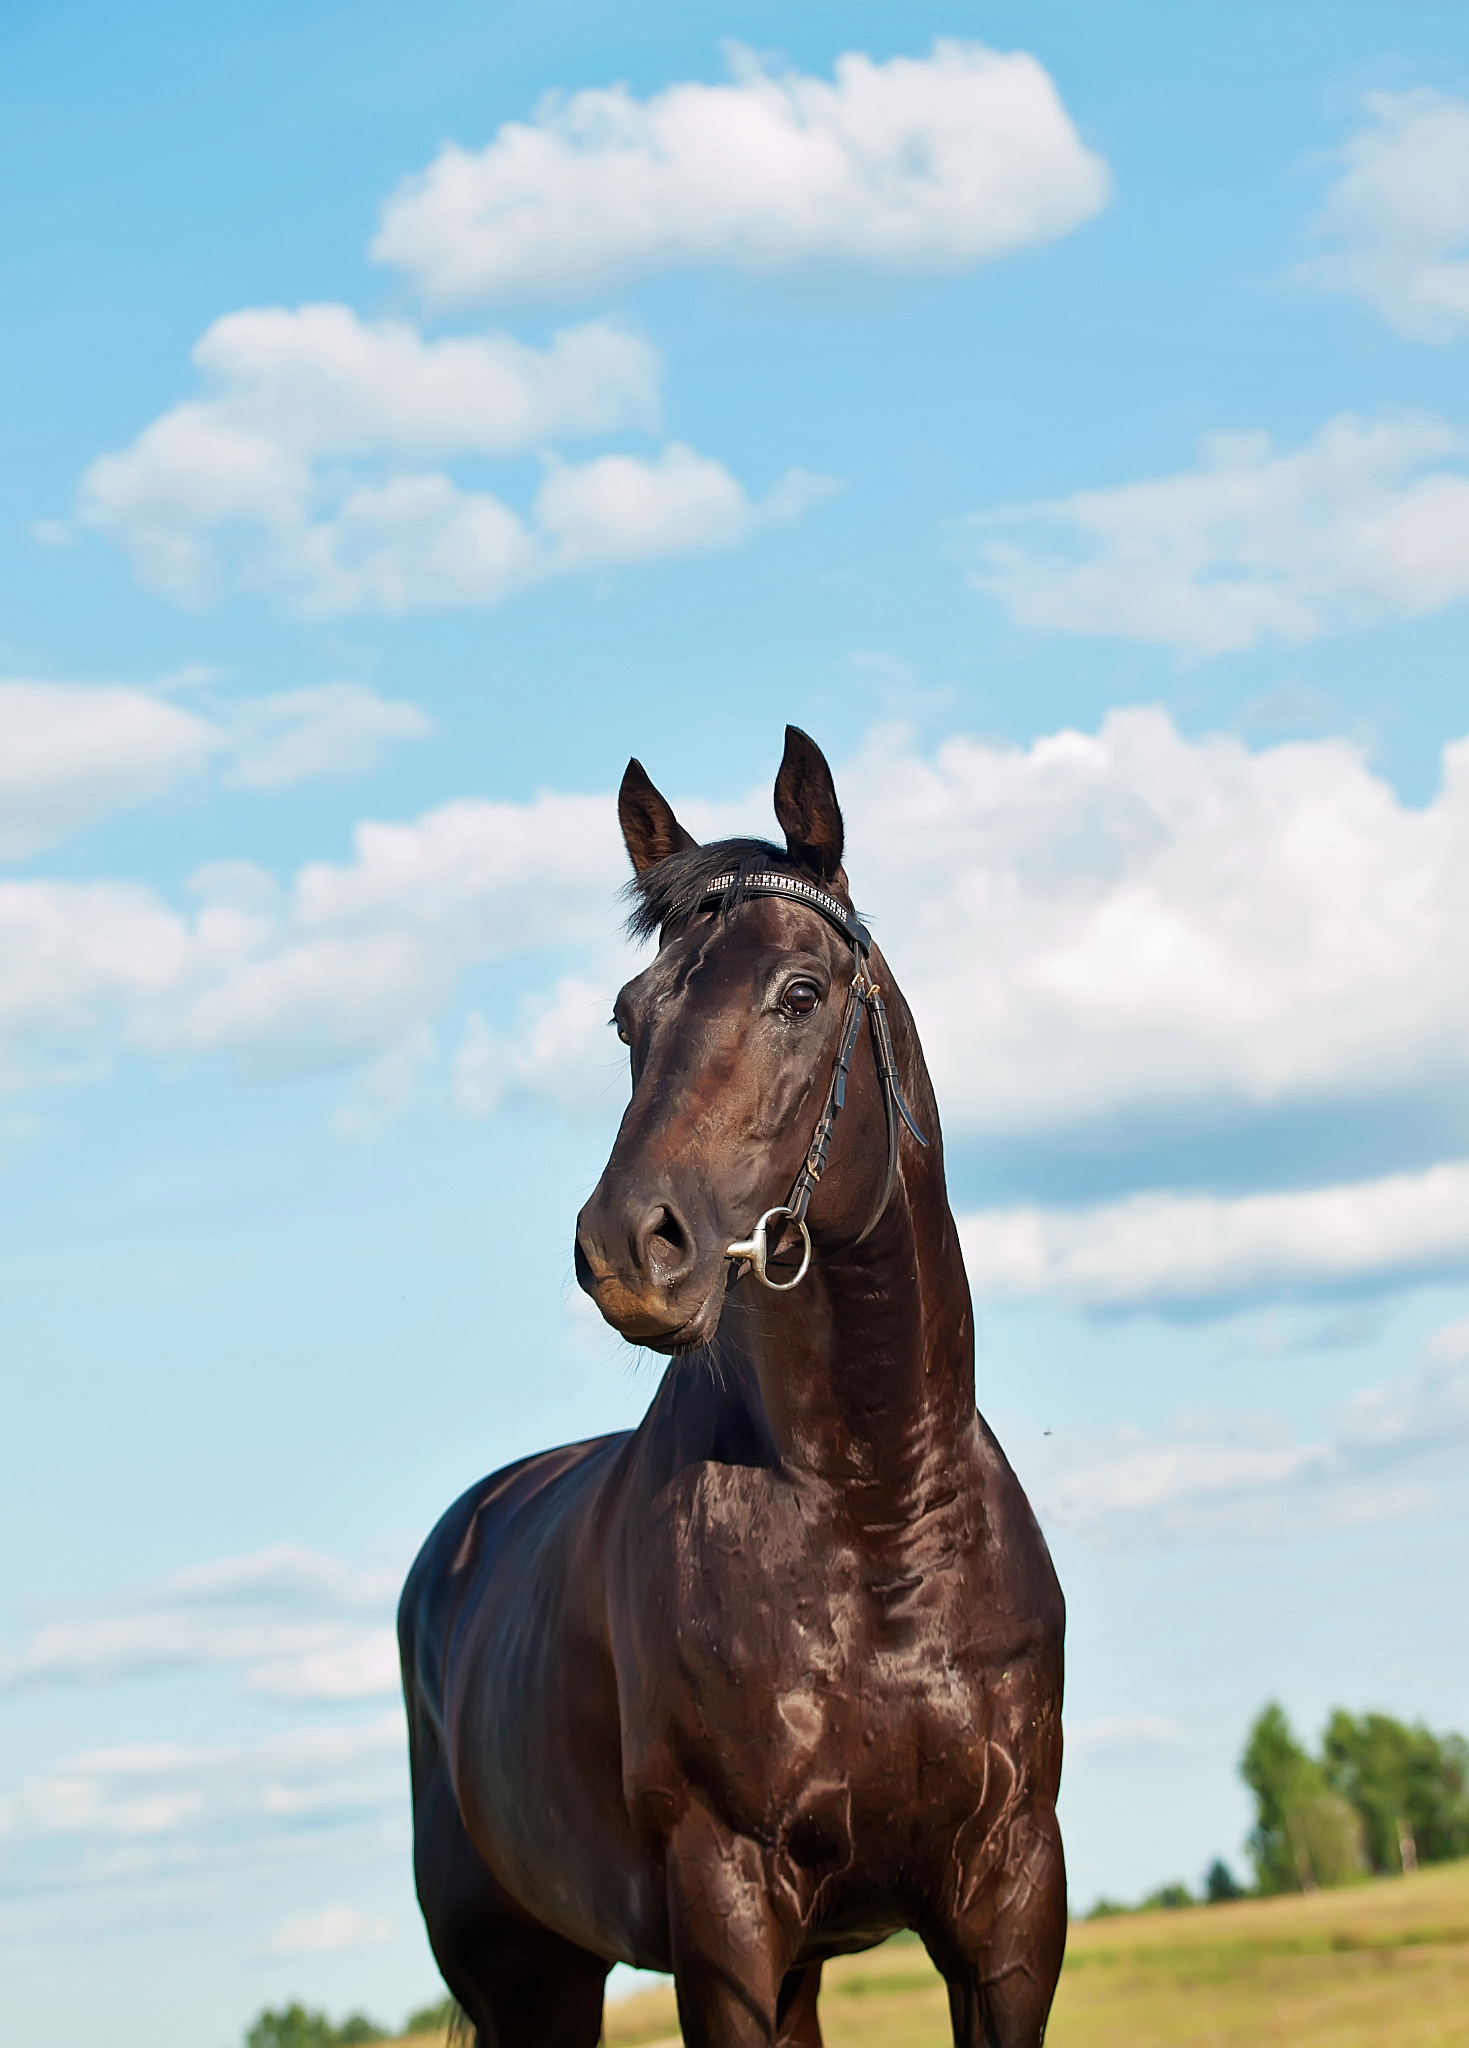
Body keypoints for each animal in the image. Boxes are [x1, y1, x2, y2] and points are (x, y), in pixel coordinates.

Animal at [400, 727, 1066, 2048]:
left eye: (799, 993)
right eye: (627, 1018)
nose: (626, 1245)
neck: (877, 1514)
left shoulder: (1010, 1905)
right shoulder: (726, 1915)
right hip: (529, 1978)